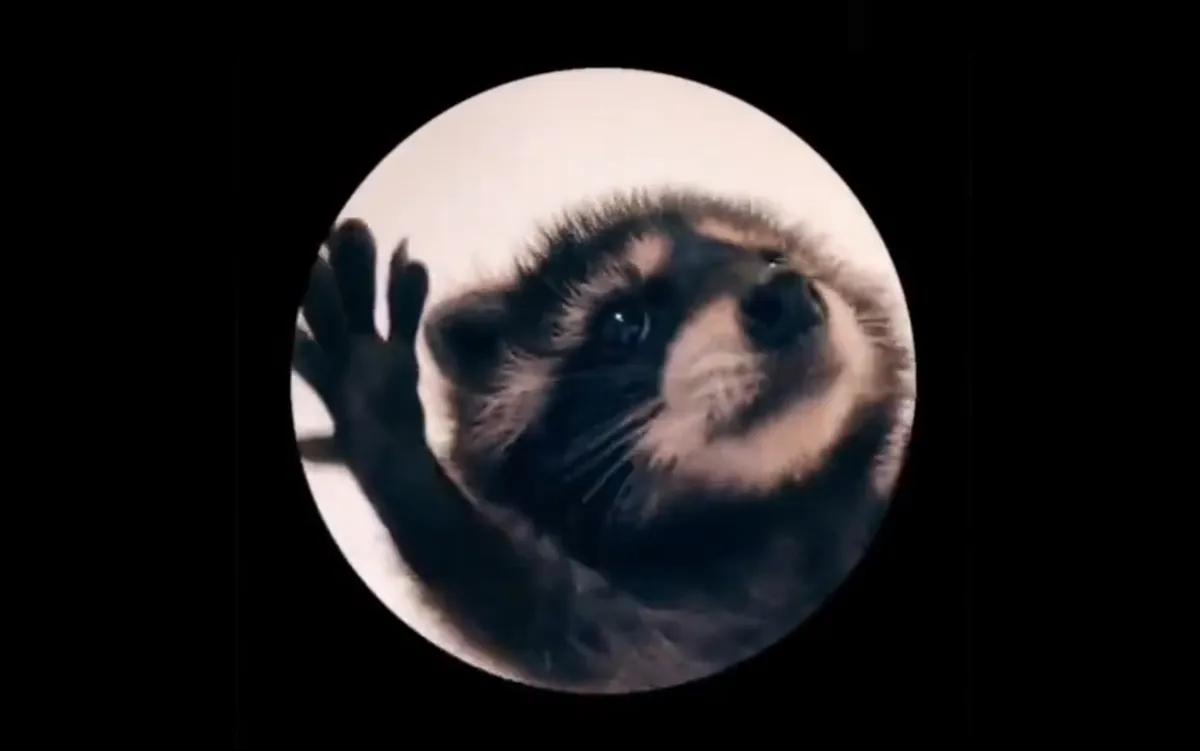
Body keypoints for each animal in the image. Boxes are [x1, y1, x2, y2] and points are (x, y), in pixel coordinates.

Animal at [293, 188, 915, 693]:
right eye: (623, 322)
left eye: (774, 258)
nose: (786, 295)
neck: (771, 518)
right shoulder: (667, 640)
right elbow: (531, 607)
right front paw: (387, 432)